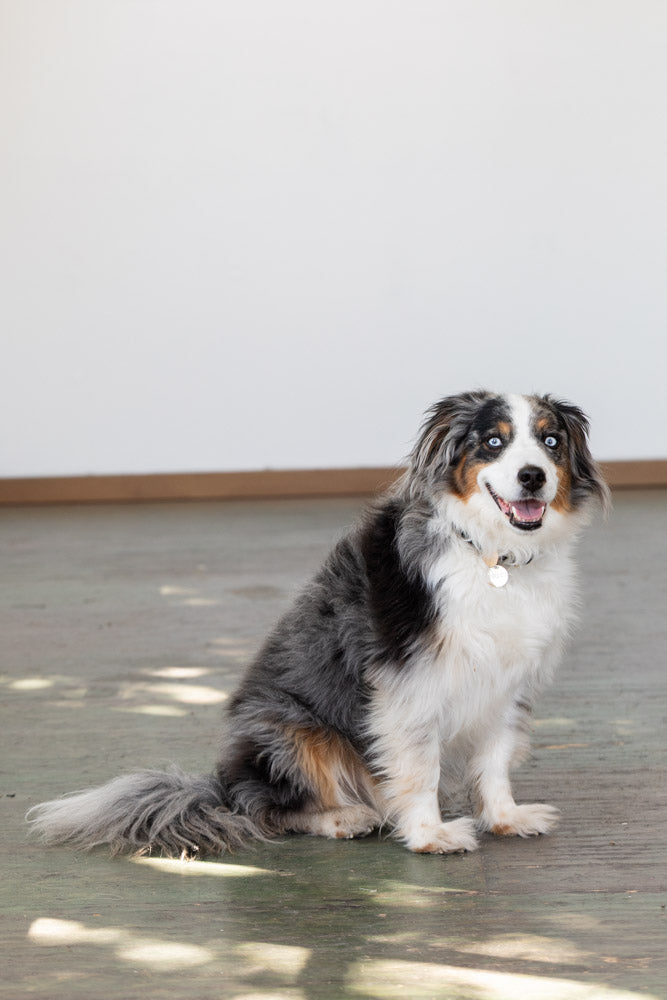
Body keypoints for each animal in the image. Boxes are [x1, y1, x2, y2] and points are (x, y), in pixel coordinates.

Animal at [28, 390, 609, 857]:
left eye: (551, 441)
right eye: (492, 442)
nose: (532, 476)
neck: (492, 558)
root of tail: (220, 787)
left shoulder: (508, 681)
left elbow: (495, 759)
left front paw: (506, 818)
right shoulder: (408, 683)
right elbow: (420, 765)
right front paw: (431, 835)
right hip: (292, 731)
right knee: (270, 811)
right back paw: (344, 817)